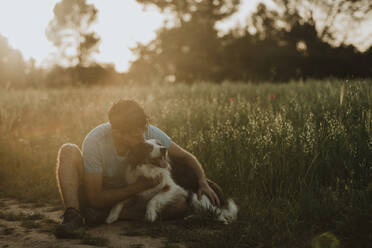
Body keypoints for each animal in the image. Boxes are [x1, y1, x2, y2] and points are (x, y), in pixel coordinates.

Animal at [104, 140, 238, 225]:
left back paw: (221, 220)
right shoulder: (136, 190)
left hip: (197, 196)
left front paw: (150, 214)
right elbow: (119, 201)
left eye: (159, 144)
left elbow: (154, 198)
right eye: (148, 147)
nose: (164, 149)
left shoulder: (174, 188)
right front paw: (112, 216)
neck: (150, 170)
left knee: (217, 212)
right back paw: (189, 217)